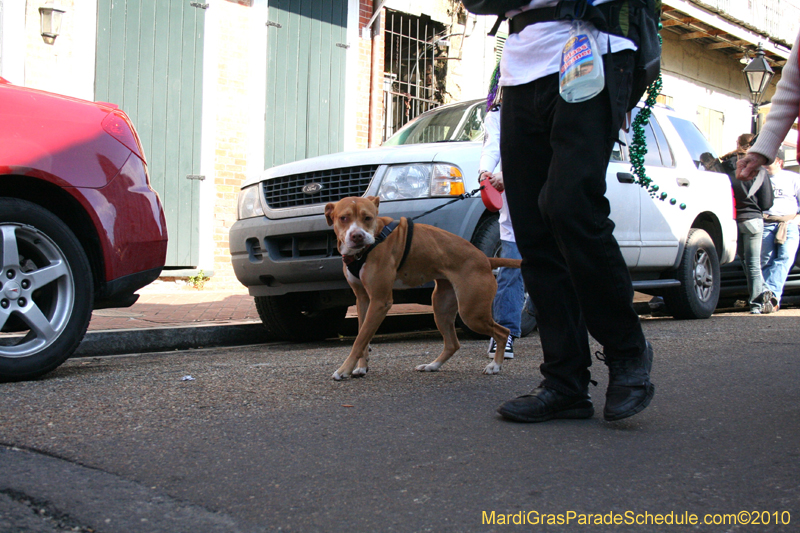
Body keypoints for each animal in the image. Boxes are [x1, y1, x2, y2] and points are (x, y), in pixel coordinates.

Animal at [322, 195, 520, 378]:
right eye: (343, 218)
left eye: (368, 218)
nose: (357, 236)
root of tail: (486, 259)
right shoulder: (363, 299)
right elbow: (363, 336)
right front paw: (361, 367)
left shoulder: (379, 301)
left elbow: (360, 339)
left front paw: (344, 370)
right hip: (441, 308)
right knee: (452, 344)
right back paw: (432, 366)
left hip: (472, 313)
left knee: (503, 332)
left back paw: (495, 366)